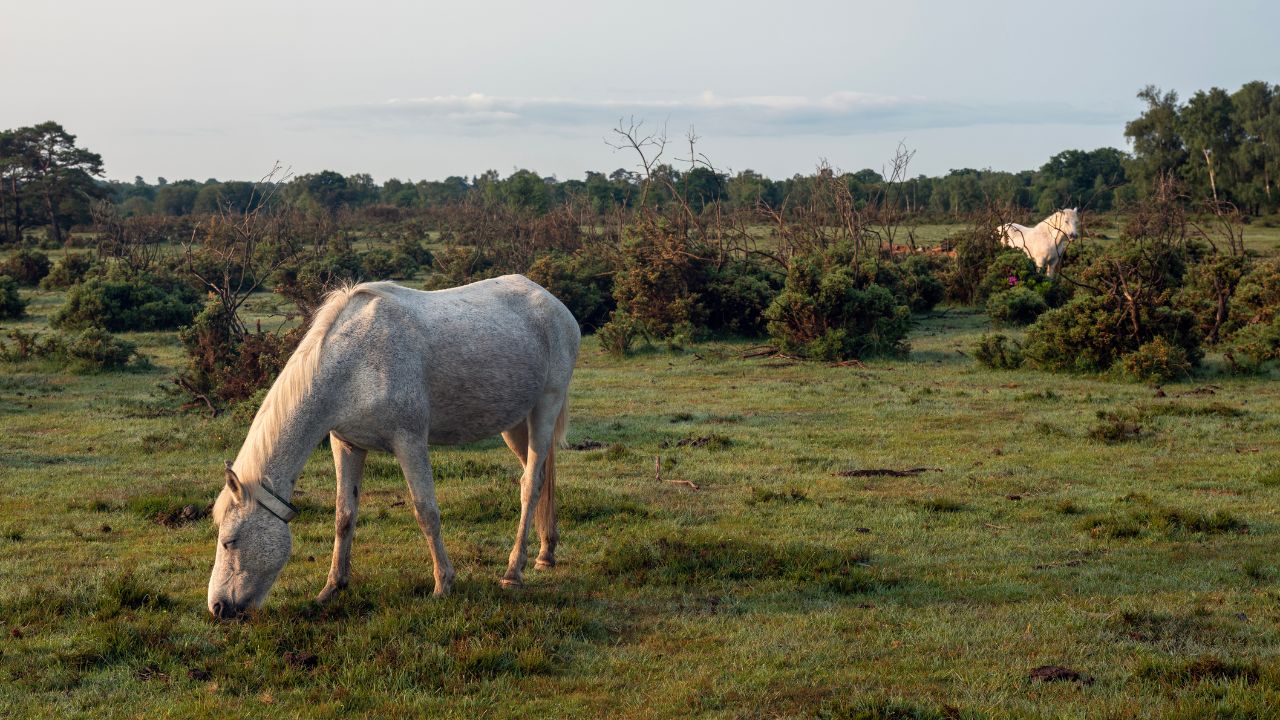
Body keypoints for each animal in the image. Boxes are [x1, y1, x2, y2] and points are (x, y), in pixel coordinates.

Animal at [207, 275, 580, 619]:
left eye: (230, 541)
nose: (218, 607)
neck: (352, 363)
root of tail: (553, 304)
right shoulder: (347, 444)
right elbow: (344, 515)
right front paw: (332, 587)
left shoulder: (409, 441)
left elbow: (426, 511)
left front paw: (443, 584)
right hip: (515, 423)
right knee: (542, 475)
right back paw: (546, 553)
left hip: (545, 406)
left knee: (530, 485)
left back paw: (513, 572)